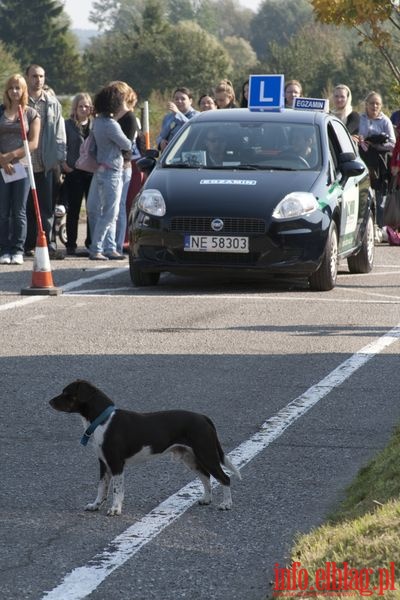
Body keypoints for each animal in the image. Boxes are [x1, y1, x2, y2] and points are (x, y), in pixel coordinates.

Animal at [49, 380, 241, 516]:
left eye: (66, 393)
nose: (49, 401)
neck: (103, 420)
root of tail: (203, 417)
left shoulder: (116, 463)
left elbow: (117, 489)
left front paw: (115, 509)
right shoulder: (103, 463)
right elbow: (102, 487)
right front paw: (95, 505)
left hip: (206, 453)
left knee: (224, 478)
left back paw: (226, 504)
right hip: (190, 458)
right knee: (206, 476)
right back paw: (206, 499)